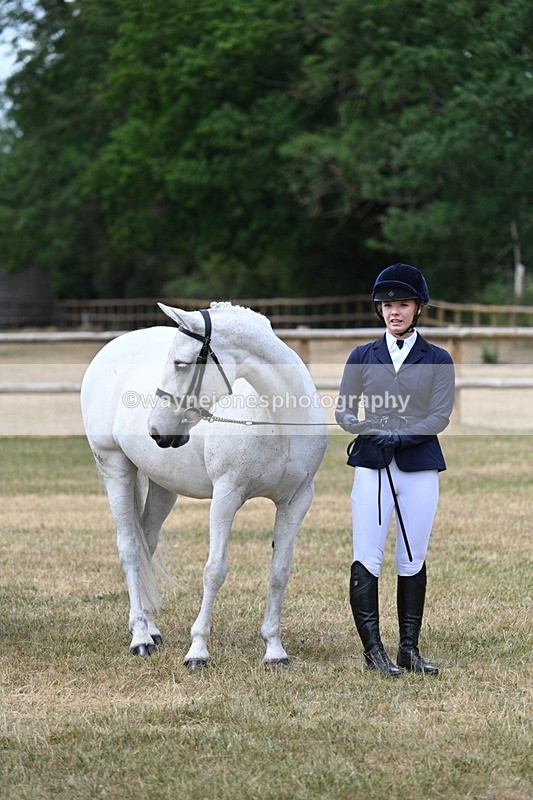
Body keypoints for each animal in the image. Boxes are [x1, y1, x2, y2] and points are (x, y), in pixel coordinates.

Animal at [80, 301, 327, 667]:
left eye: (181, 363)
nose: (156, 430)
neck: (278, 421)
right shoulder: (226, 496)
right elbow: (215, 570)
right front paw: (198, 650)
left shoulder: (296, 501)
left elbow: (280, 572)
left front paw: (274, 649)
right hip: (114, 466)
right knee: (129, 549)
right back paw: (140, 637)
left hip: (163, 486)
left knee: (146, 545)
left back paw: (152, 630)